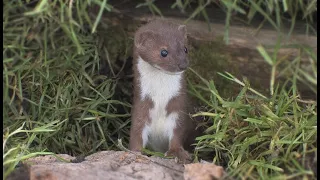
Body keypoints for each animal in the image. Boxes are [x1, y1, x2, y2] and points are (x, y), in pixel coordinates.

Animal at [129, 19, 195, 163]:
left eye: (185, 49)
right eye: (163, 52)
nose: (183, 64)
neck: (161, 98)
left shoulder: (178, 108)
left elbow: (178, 133)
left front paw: (177, 153)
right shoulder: (142, 107)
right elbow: (136, 132)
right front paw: (135, 152)